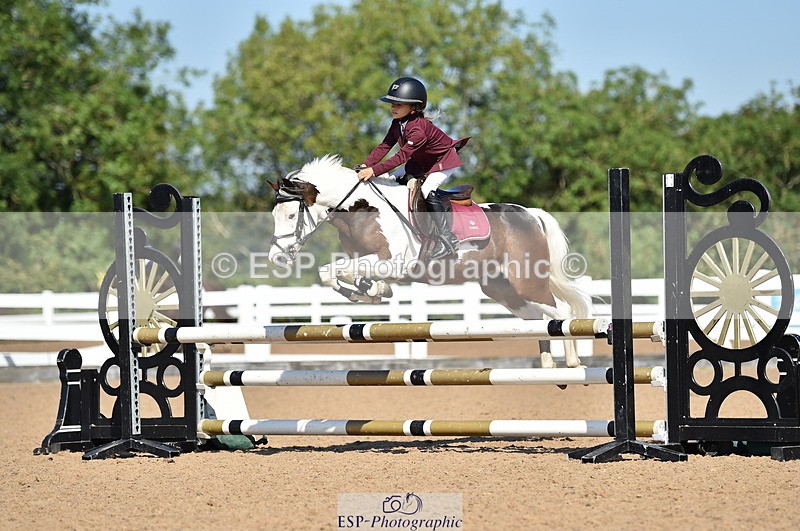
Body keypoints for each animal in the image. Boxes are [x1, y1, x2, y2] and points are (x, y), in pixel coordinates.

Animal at [267, 154, 592, 368]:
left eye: (292, 215)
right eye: (274, 215)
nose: (277, 257)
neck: (361, 209)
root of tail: (530, 214)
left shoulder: (393, 262)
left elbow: (331, 271)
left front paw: (370, 292)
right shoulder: (366, 259)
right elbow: (339, 274)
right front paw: (373, 291)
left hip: (526, 282)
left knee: (561, 312)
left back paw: (572, 363)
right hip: (503, 290)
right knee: (539, 320)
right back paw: (548, 365)